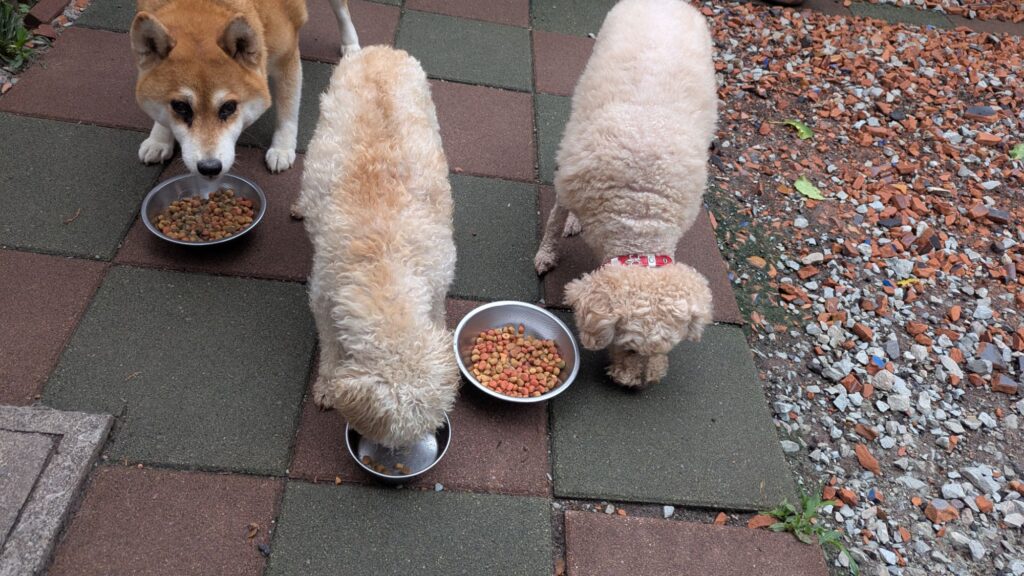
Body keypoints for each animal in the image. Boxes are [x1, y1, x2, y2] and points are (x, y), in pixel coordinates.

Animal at [130, 0, 360, 177]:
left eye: (229, 107)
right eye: (180, 107)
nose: (209, 168)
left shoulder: (286, 57)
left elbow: (288, 108)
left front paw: (282, 148)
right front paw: (159, 138)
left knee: (342, 9)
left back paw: (351, 45)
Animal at [294, 46, 459, 448]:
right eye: (395, 441)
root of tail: (376, 50)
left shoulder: (437, 285)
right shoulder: (323, 297)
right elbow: (331, 345)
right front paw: (327, 384)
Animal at [534, 0, 716, 388]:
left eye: (668, 348)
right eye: (629, 346)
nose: (633, 385)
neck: (640, 208)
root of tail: (668, 3)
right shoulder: (569, 182)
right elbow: (554, 221)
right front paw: (545, 255)